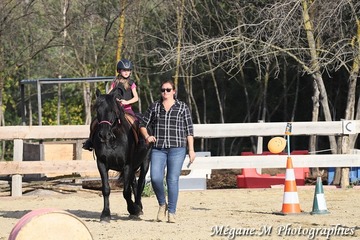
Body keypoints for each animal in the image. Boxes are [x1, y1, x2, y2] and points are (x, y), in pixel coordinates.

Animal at [91, 87, 152, 222]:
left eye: (112, 110)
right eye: (97, 109)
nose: (103, 135)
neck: (113, 138)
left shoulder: (127, 165)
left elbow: (126, 191)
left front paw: (133, 209)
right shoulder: (101, 164)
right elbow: (106, 189)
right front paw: (105, 214)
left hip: (145, 162)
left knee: (140, 183)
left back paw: (138, 207)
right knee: (135, 183)